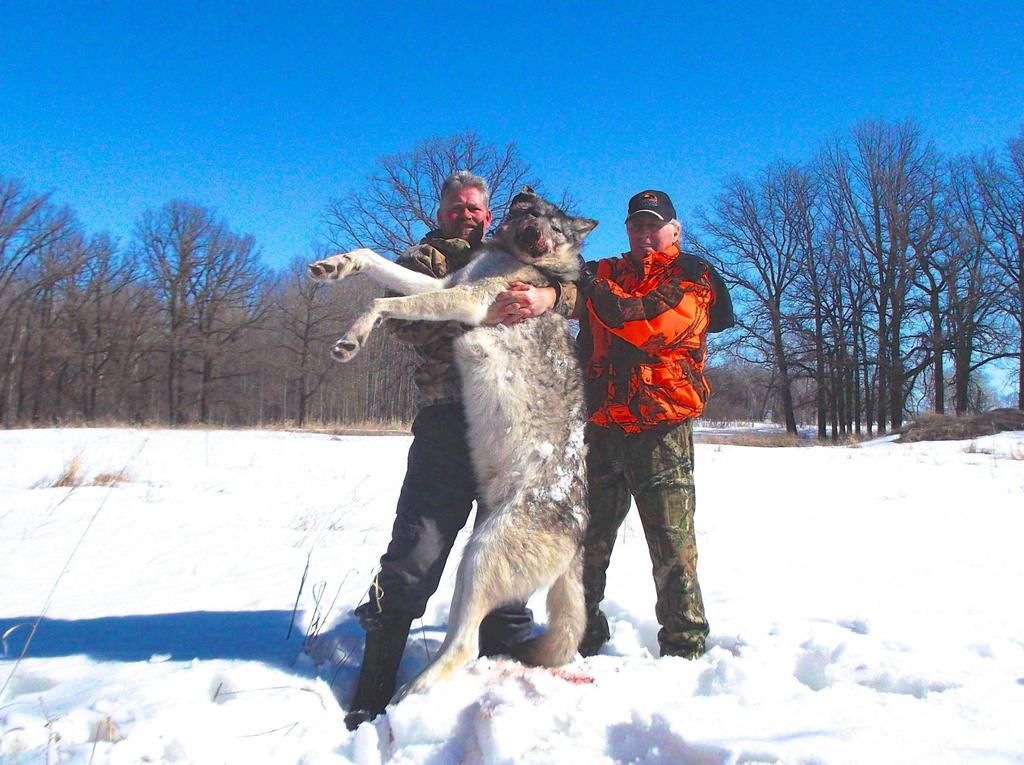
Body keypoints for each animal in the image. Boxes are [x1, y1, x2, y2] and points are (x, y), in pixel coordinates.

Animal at [311, 188, 598, 696]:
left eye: (557, 229)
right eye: (530, 213)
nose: (537, 236)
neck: (512, 256)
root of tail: (579, 536)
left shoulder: (465, 299)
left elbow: (382, 305)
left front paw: (352, 338)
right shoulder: (446, 283)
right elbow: (374, 263)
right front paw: (337, 265)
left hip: (480, 556)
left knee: (464, 645)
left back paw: (411, 692)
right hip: (473, 557)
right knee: (464, 638)